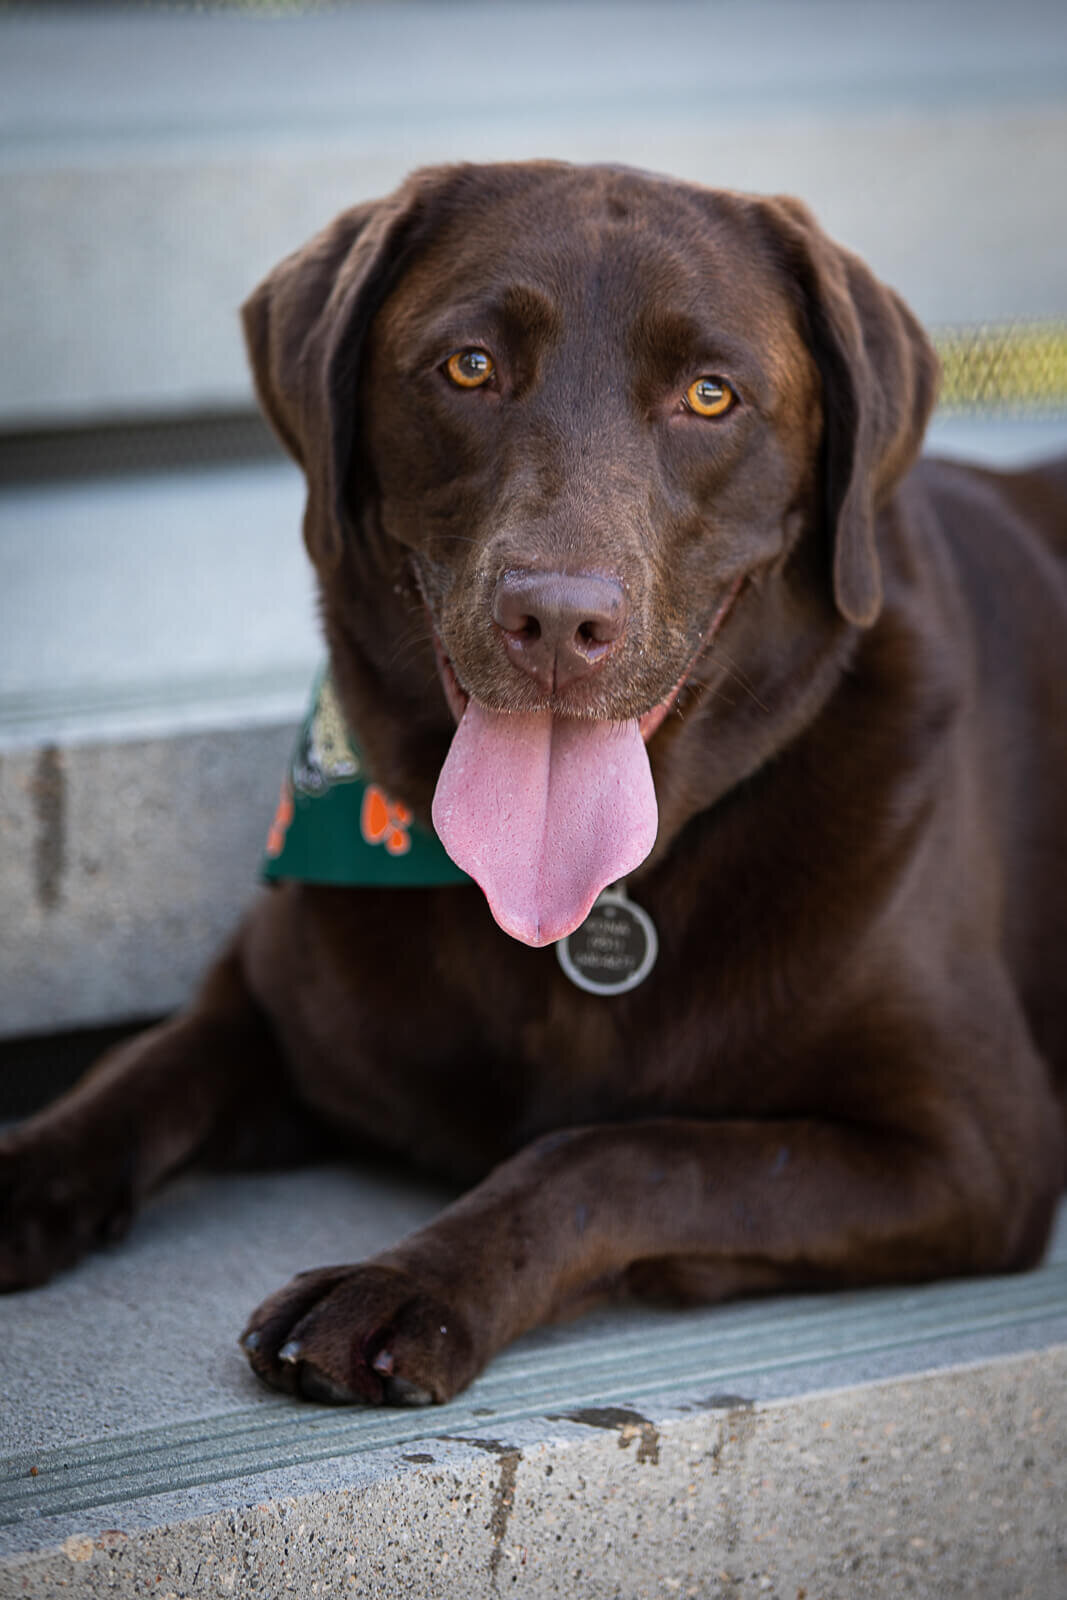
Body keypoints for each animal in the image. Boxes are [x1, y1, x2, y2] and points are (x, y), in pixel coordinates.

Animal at [2, 165, 1067, 1414]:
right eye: (469, 366)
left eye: (710, 395)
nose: (558, 618)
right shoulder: (265, 1006)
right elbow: (136, 1068)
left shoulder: (972, 1149)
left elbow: (620, 1149)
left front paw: (400, 1283)